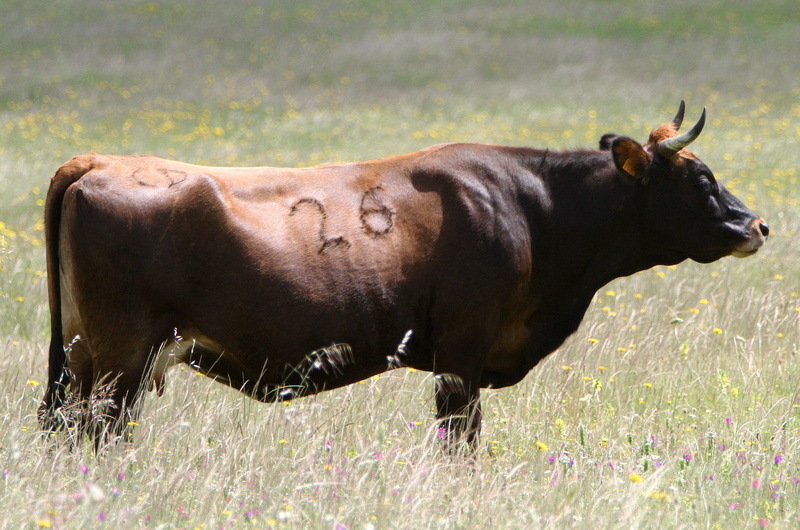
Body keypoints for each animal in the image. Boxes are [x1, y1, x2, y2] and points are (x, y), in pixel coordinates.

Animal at [39, 102, 768, 448]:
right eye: (702, 179)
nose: (757, 225)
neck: (530, 207)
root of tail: (98, 159)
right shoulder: (461, 353)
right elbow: (459, 442)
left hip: (82, 358)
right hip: (120, 357)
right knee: (96, 434)